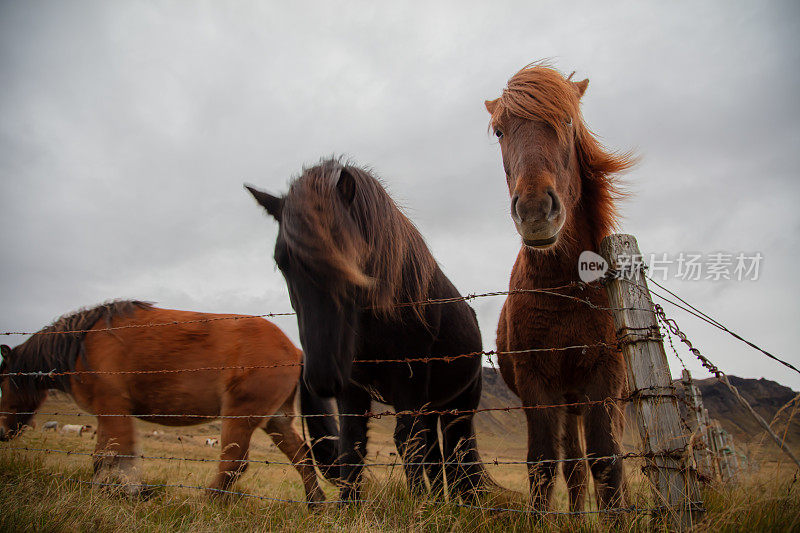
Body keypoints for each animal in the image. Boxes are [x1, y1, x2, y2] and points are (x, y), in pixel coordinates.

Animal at [1, 300, 324, 502]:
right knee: (302, 458)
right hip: (275, 421)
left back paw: (205, 502)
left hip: (240, 417)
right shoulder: (109, 414)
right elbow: (104, 459)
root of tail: (295, 350)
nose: (3, 432)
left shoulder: (112, 409)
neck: (83, 343)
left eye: (3, 382)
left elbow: (116, 457)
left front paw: (129, 494)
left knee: (234, 463)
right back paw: (316, 504)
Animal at [247, 159, 490, 502]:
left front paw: (418, 506)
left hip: (458, 407)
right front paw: (348, 507)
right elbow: (353, 446)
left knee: (459, 452)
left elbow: (408, 442)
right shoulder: (351, 387)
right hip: (432, 407)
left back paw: (463, 502)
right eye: (282, 261)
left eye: (354, 258)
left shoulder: (409, 382)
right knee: (437, 454)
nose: (322, 377)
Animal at [484, 63, 636, 512]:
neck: (566, 290)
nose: (535, 211)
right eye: (500, 131)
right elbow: (543, 463)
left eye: (567, 121)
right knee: (573, 468)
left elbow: (607, 461)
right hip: (568, 402)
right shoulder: (539, 382)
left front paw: (617, 519)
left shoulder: (605, 379)